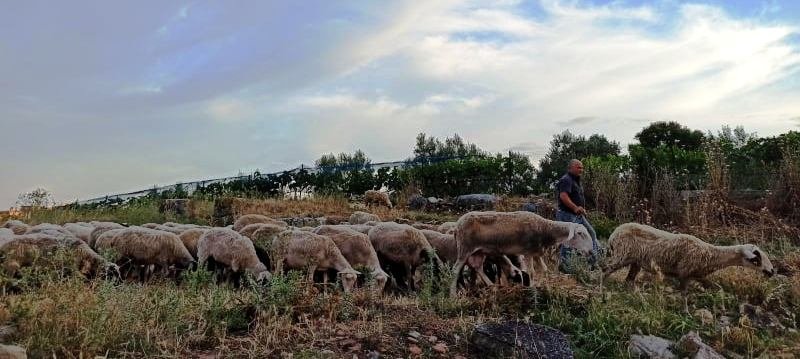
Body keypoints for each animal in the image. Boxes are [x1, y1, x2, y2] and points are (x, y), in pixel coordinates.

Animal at [450, 211, 592, 296]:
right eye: (580, 233)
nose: (591, 251)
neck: (545, 229)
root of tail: (457, 225)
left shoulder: (537, 253)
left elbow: (545, 270)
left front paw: (544, 285)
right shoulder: (528, 252)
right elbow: (532, 272)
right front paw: (532, 289)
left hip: (479, 251)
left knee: (478, 266)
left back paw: (492, 286)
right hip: (465, 248)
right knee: (455, 270)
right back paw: (453, 295)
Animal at [608, 222, 776, 292]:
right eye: (756, 259)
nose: (772, 272)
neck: (710, 254)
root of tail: (613, 234)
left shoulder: (697, 275)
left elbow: (714, 286)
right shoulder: (684, 273)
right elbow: (684, 291)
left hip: (634, 261)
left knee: (629, 278)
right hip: (621, 255)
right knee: (606, 269)